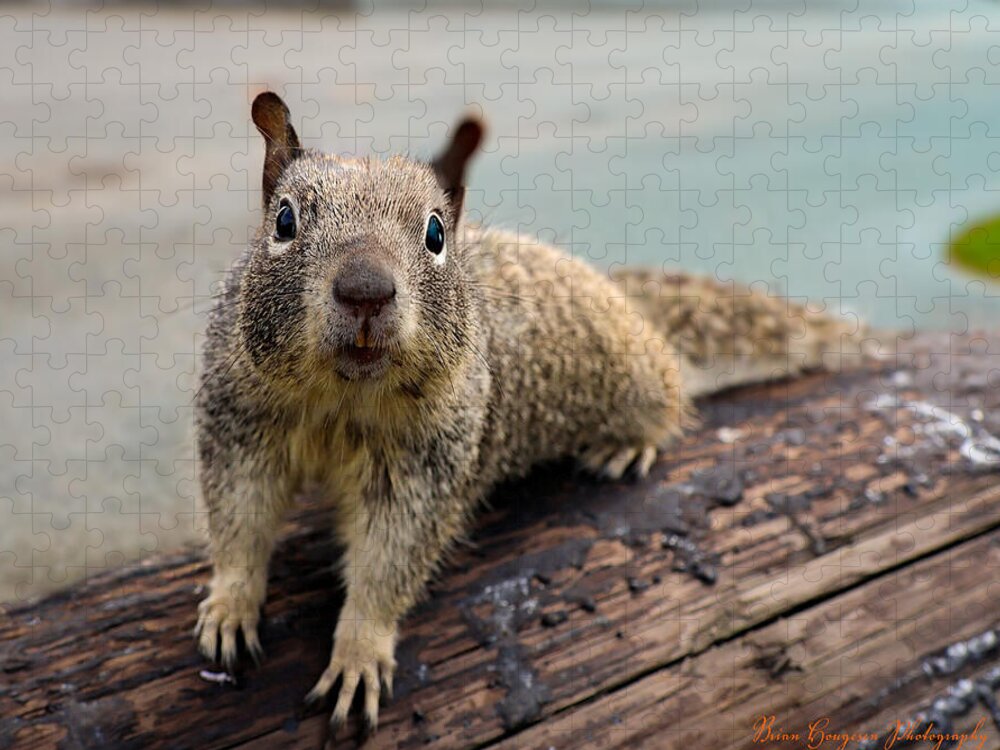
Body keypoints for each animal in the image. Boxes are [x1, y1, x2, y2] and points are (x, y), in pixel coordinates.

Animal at [194, 91, 870, 737]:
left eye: (436, 234)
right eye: (284, 220)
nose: (365, 290)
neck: (343, 400)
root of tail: (622, 298)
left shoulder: (426, 470)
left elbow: (389, 563)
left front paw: (359, 652)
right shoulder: (239, 425)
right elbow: (239, 521)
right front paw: (229, 606)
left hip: (637, 376)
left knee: (670, 394)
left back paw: (629, 443)